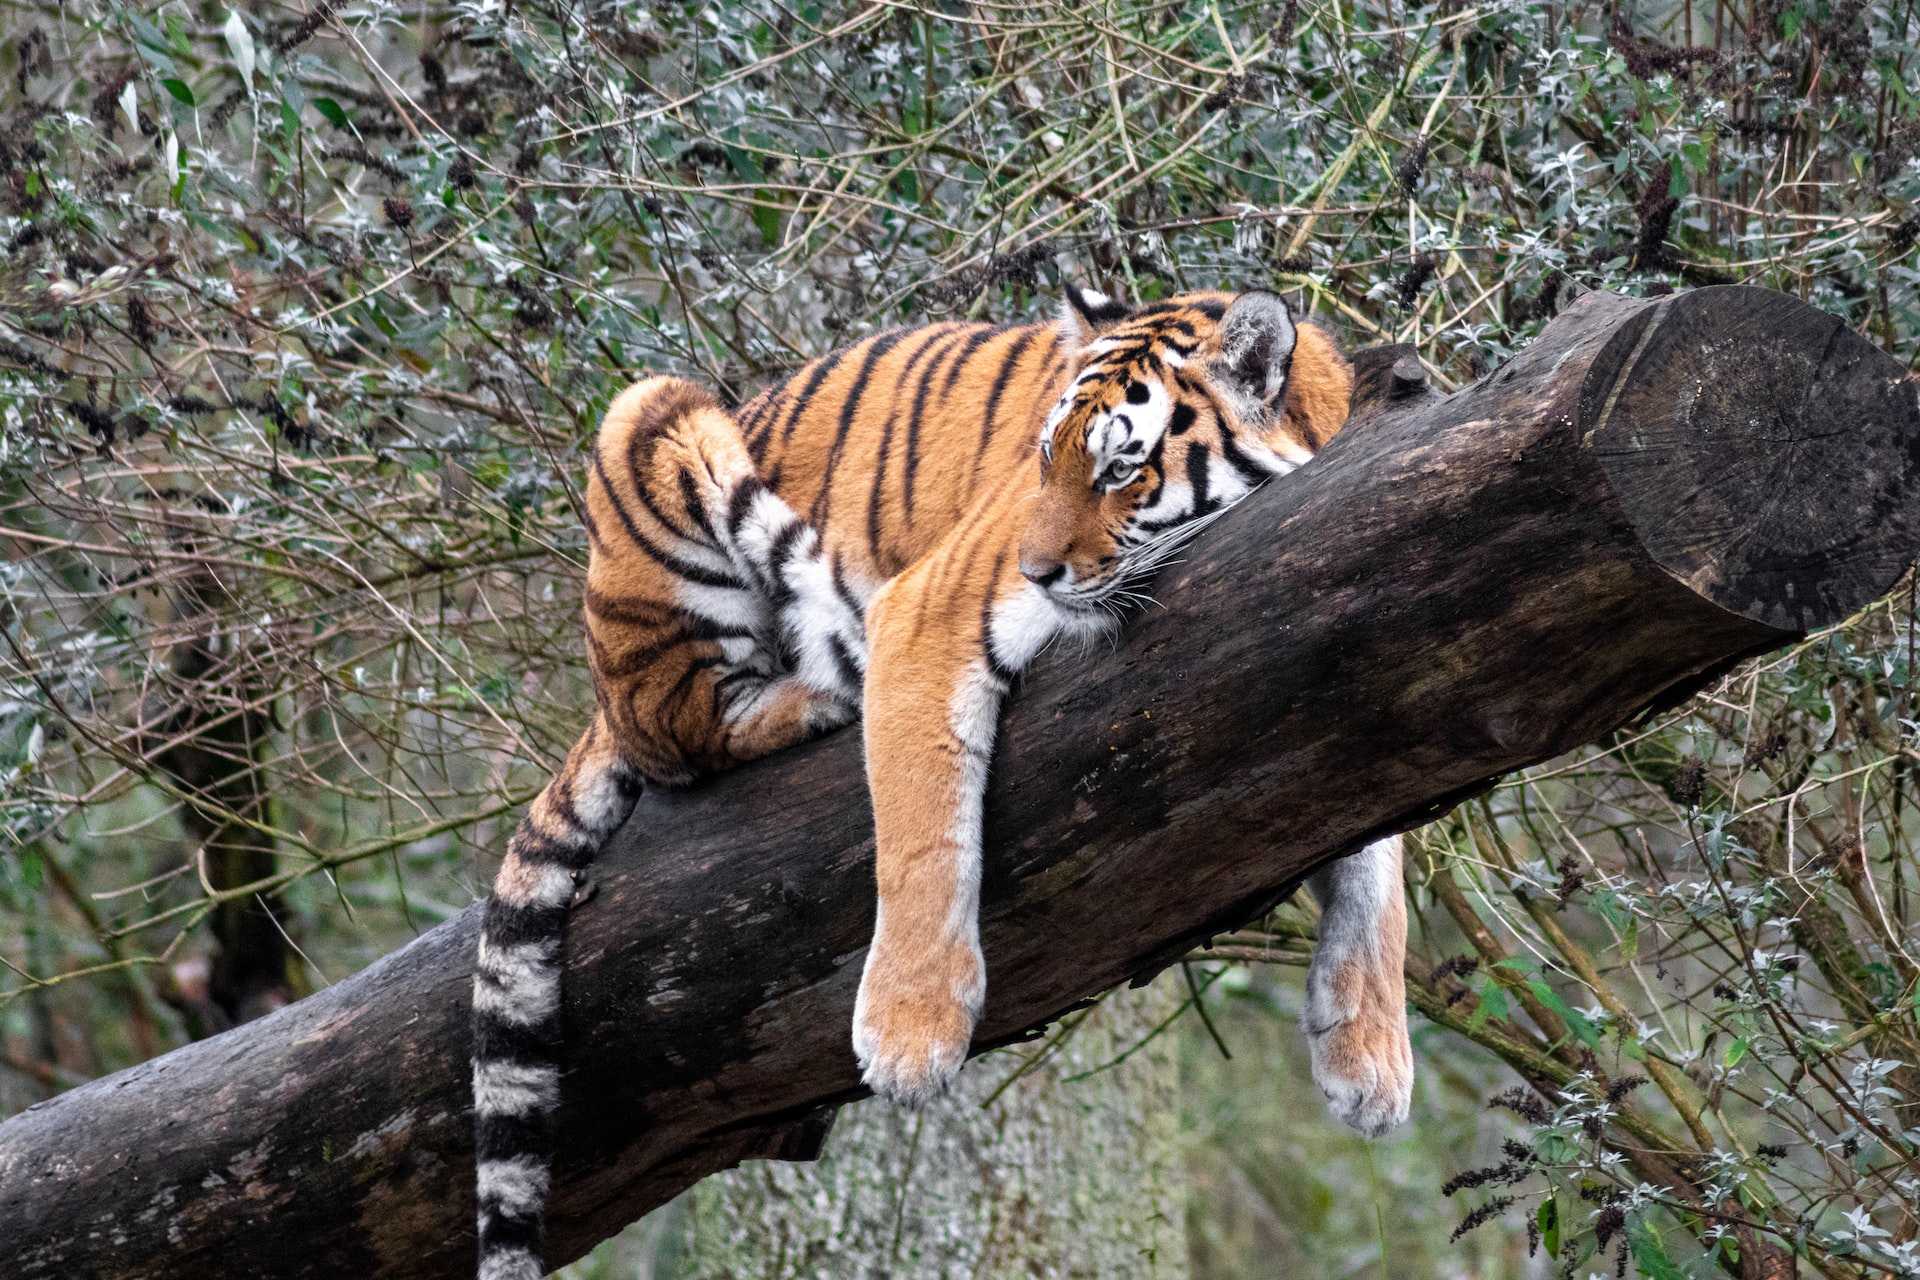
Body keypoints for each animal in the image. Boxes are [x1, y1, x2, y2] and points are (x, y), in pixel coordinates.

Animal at [472, 285, 1420, 1274]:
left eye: (1120, 470)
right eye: (1044, 459)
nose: (1035, 571)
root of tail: (598, 694)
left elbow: (1378, 866)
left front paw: (1371, 1057)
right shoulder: (924, 616)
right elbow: (924, 840)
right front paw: (909, 1037)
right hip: (654, 419)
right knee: (682, 730)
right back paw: (817, 695)